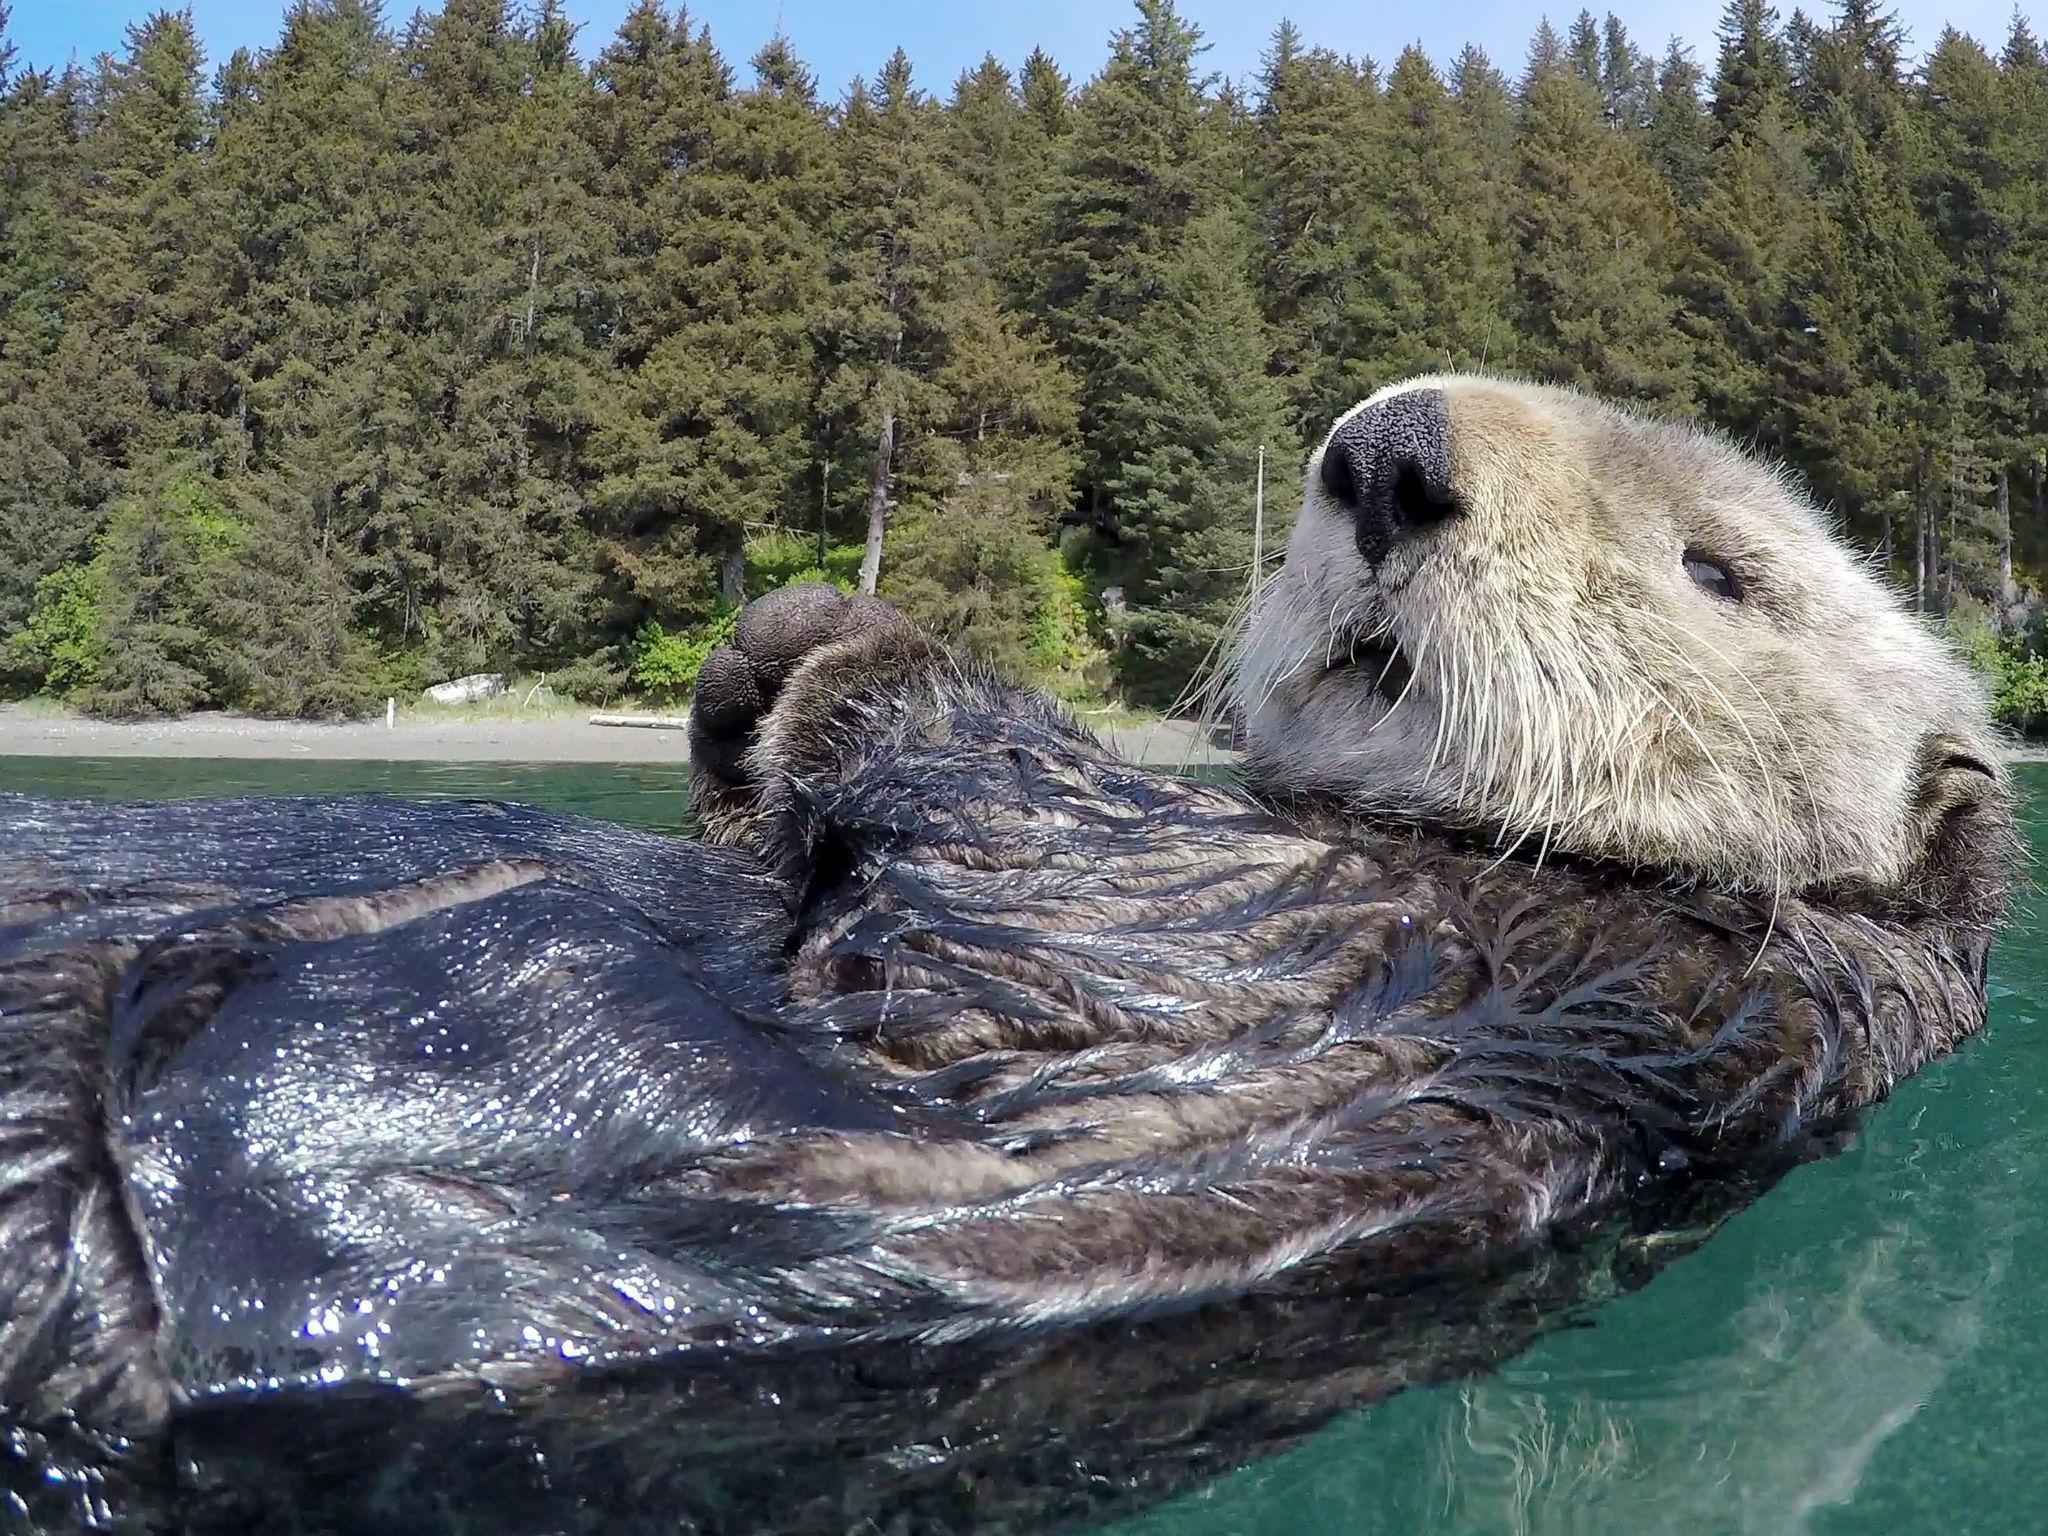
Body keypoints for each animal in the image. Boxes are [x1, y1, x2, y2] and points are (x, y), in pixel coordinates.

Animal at [0, 378, 2015, 1531]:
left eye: (1721, 572)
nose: (1386, 453)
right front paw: (772, 636)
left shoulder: (1432, 964)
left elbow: (986, 864)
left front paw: (852, 643)